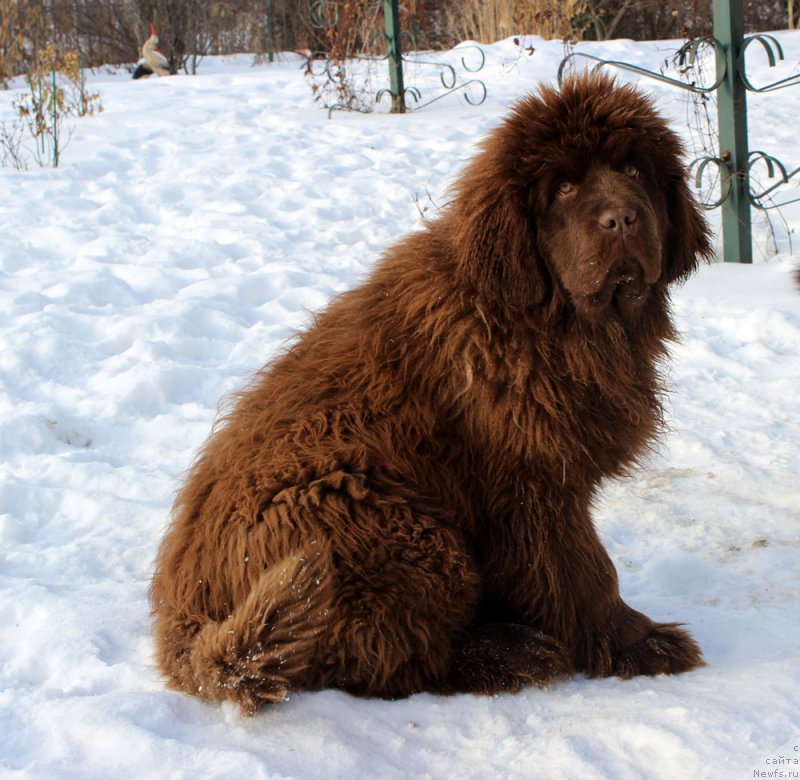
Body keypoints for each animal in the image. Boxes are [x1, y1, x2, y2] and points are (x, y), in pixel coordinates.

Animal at [152, 73, 712, 712]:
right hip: (385, 527)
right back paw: (506, 656)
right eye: (565, 188)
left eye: (636, 169)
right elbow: (584, 572)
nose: (621, 219)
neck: (538, 321)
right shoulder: (534, 486)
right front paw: (639, 644)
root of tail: (181, 632)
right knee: (394, 660)